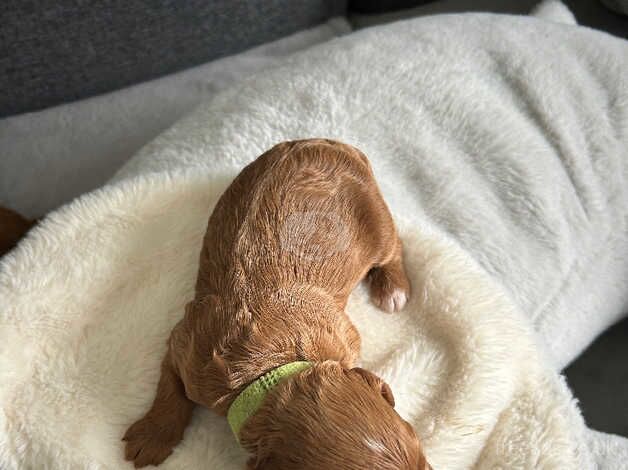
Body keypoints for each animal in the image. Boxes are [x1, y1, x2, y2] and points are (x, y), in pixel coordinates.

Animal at [121, 140, 432, 470]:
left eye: (427, 466)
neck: (271, 369)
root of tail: (332, 144)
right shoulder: (188, 343)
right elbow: (169, 388)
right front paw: (151, 439)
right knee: (395, 244)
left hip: (377, 218)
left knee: (394, 247)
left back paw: (394, 288)